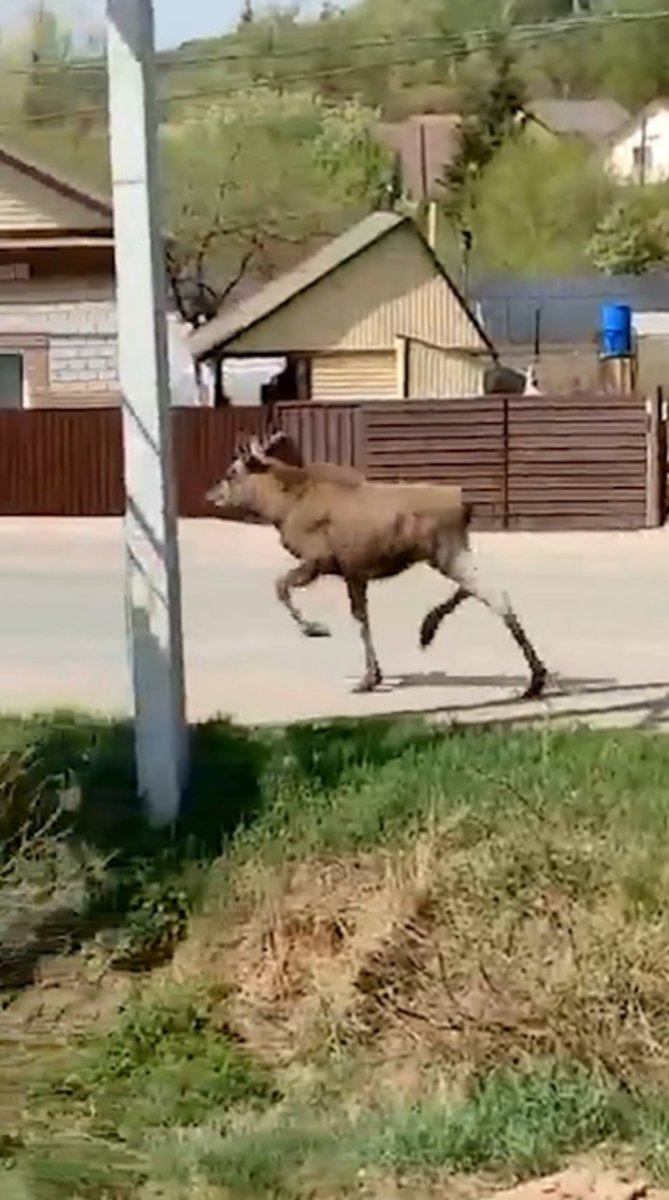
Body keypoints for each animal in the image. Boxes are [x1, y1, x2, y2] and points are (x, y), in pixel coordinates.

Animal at [206, 433, 548, 699]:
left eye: (231, 472)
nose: (211, 494)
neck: (281, 507)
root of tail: (466, 504)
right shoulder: (353, 570)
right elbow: (362, 618)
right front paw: (373, 676)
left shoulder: (320, 560)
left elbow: (281, 586)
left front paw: (317, 630)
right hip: (451, 552)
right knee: (485, 589)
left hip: (445, 551)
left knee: (490, 593)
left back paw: (533, 678)